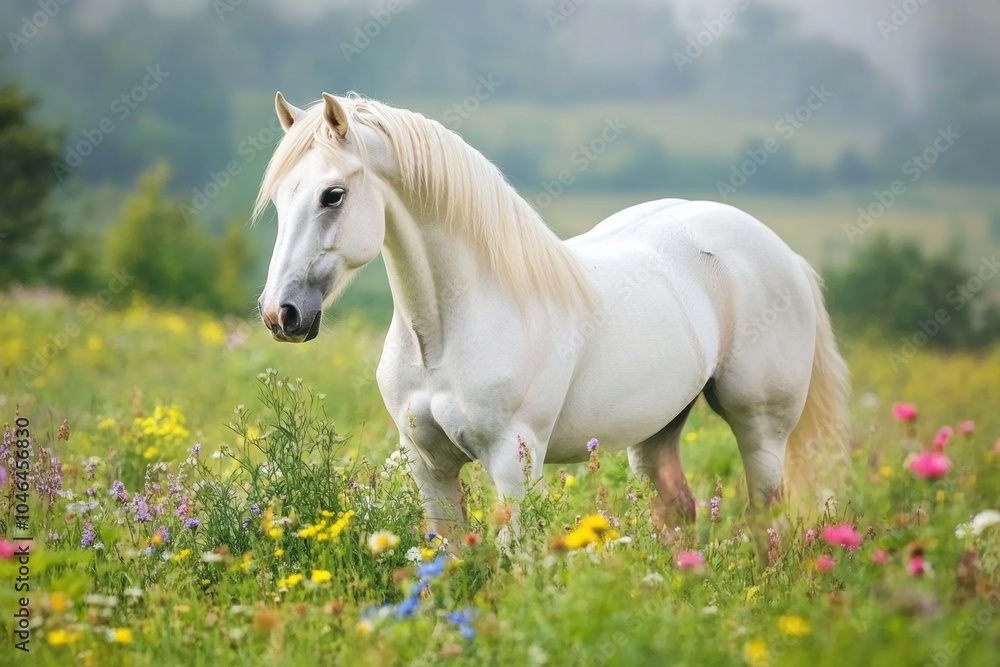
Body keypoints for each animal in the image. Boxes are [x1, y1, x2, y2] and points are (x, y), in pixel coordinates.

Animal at [253, 92, 850, 552]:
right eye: (279, 200)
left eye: (333, 195)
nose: (280, 314)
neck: (445, 331)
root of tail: (782, 254)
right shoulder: (428, 465)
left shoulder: (512, 462)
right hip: (657, 431)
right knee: (680, 510)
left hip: (761, 428)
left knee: (766, 518)